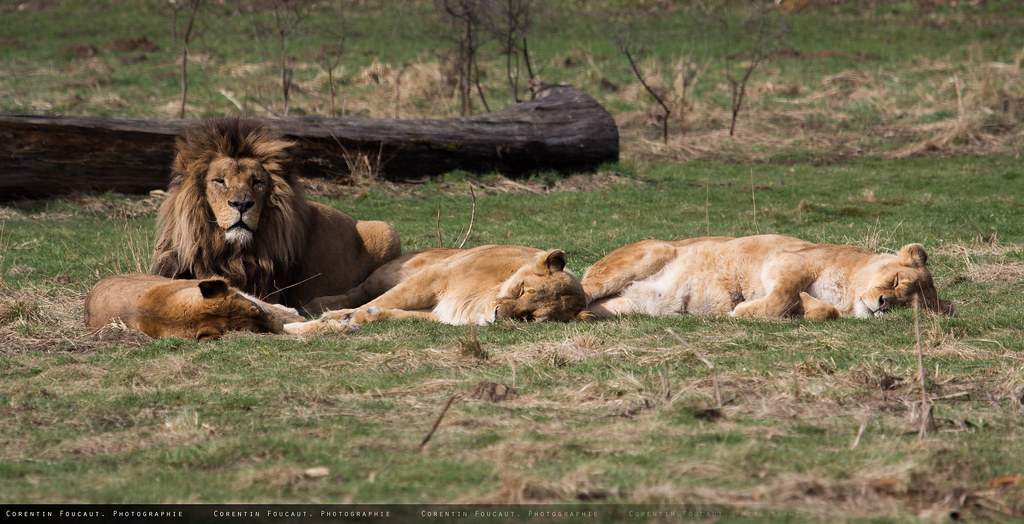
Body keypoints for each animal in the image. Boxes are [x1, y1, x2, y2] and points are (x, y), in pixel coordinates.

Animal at [284, 243, 598, 333]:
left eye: (530, 317)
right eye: (521, 290)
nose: (497, 315)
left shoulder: (441, 314)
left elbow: (389, 312)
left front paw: (356, 319)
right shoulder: (435, 277)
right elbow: (378, 302)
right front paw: (333, 318)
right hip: (392, 273)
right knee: (358, 291)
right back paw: (317, 305)